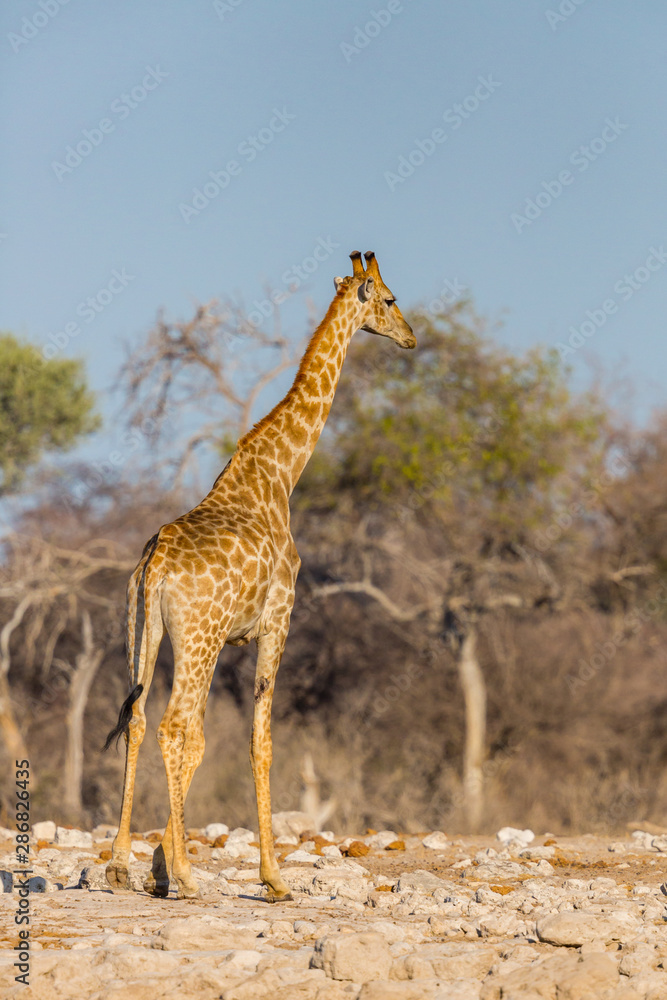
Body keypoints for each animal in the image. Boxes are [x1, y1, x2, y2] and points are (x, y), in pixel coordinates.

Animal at [103, 251, 415, 901]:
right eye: (391, 299)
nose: (411, 338)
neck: (280, 473)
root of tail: (154, 565)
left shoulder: (231, 637)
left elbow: (211, 739)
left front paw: (158, 863)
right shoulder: (277, 618)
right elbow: (260, 740)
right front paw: (272, 877)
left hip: (146, 633)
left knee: (140, 720)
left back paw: (120, 865)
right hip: (197, 639)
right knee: (175, 727)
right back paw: (187, 877)